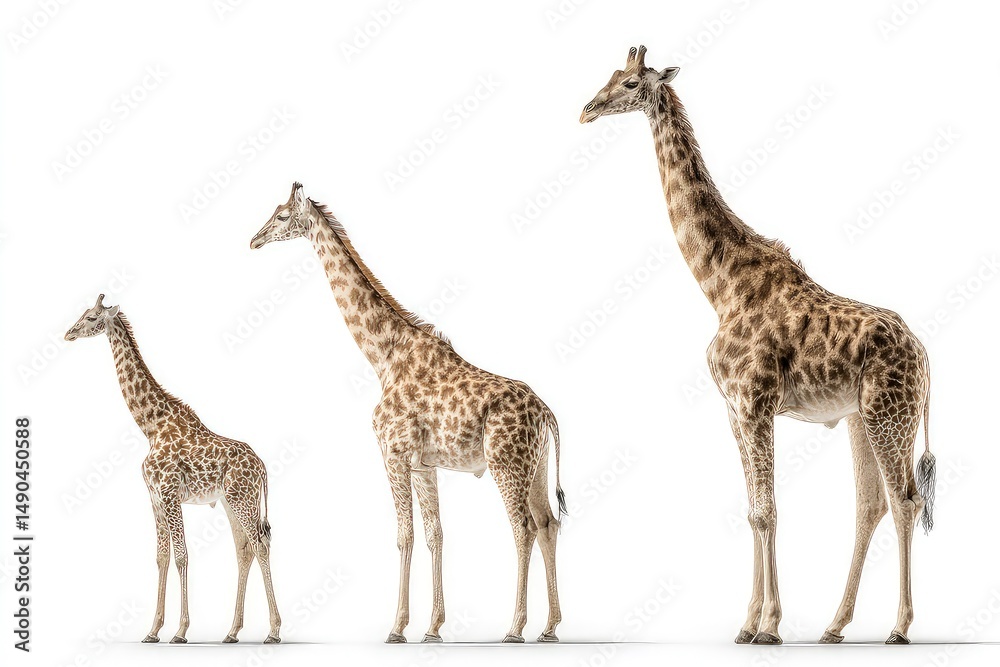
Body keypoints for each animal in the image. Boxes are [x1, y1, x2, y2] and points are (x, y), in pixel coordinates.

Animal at [65, 295, 281, 645]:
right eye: (83, 314)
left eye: (92, 317)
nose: (68, 333)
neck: (151, 426)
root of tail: (262, 467)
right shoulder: (154, 497)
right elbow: (161, 556)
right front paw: (153, 630)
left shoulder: (169, 494)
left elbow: (181, 555)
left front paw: (180, 630)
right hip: (231, 502)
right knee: (243, 550)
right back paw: (232, 631)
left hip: (243, 500)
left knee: (260, 545)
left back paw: (274, 631)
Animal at [250, 182, 566, 643]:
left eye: (282, 216)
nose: (253, 240)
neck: (383, 357)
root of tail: (547, 414)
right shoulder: (423, 465)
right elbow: (435, 534)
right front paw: (433, 627)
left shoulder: (394, 455)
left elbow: (405, 536)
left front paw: (397, 627)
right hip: (536, 466)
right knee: (547, 524)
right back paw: (550, 627)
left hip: (507, 464)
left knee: (522, 528)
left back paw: (515, 627)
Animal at [581, 46, 937, 645]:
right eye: (608, 76)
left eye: (629, 83)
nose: (586, 110)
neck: (720, 288)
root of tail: (927, 358)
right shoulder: (733, 409)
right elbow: (752, 511)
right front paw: (748, 623)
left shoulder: (756, 402)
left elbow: (768, 509)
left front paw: (769, 625)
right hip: (862, 417)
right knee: (871, 505)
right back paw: (834, 625)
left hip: (892, 414)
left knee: (905, 500)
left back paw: (900, 627)